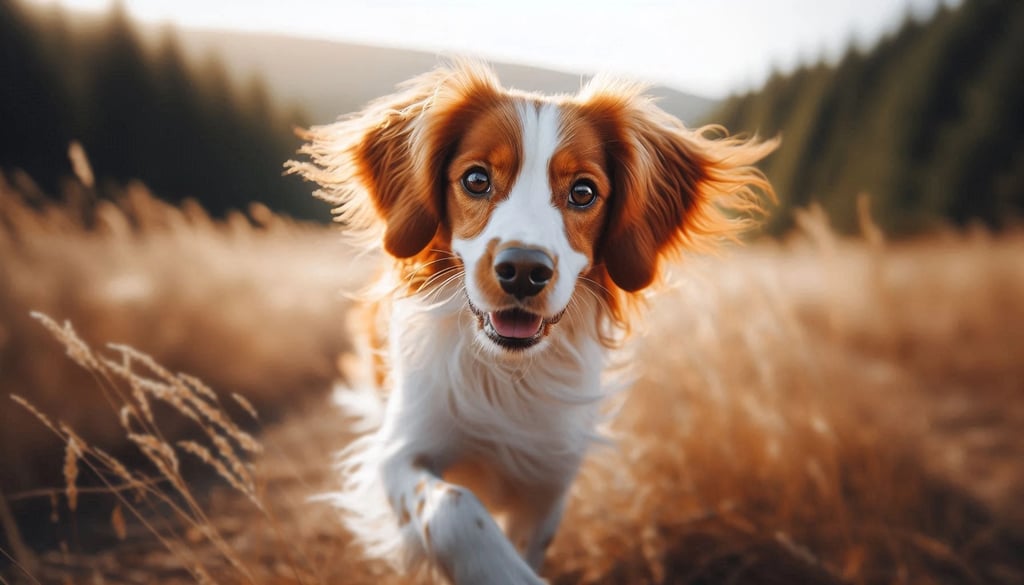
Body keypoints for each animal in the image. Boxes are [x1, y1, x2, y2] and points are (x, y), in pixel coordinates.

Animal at [288, 61, 774, 581]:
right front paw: (497, 570)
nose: (523, 270)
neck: (507, 374)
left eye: (583, 191)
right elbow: (452, 508)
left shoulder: (547, 480)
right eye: (476, 179)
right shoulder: (401, 448)